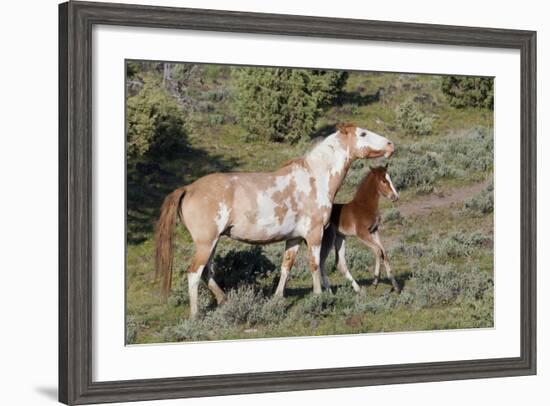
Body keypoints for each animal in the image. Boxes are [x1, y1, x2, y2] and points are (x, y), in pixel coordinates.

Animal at [320, 163, 402, 294]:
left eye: (390, 178)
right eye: (384, 181)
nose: (395, 196)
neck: (364, 206)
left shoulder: (374, 231)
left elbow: (383, 252)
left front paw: (396, 286)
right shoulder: (362, 233)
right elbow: (378, 251)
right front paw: (375, 281)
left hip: (340, 238)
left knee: (340, 263)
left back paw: (358, 289)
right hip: (328, 239)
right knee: (321, 262)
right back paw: (329, 291)